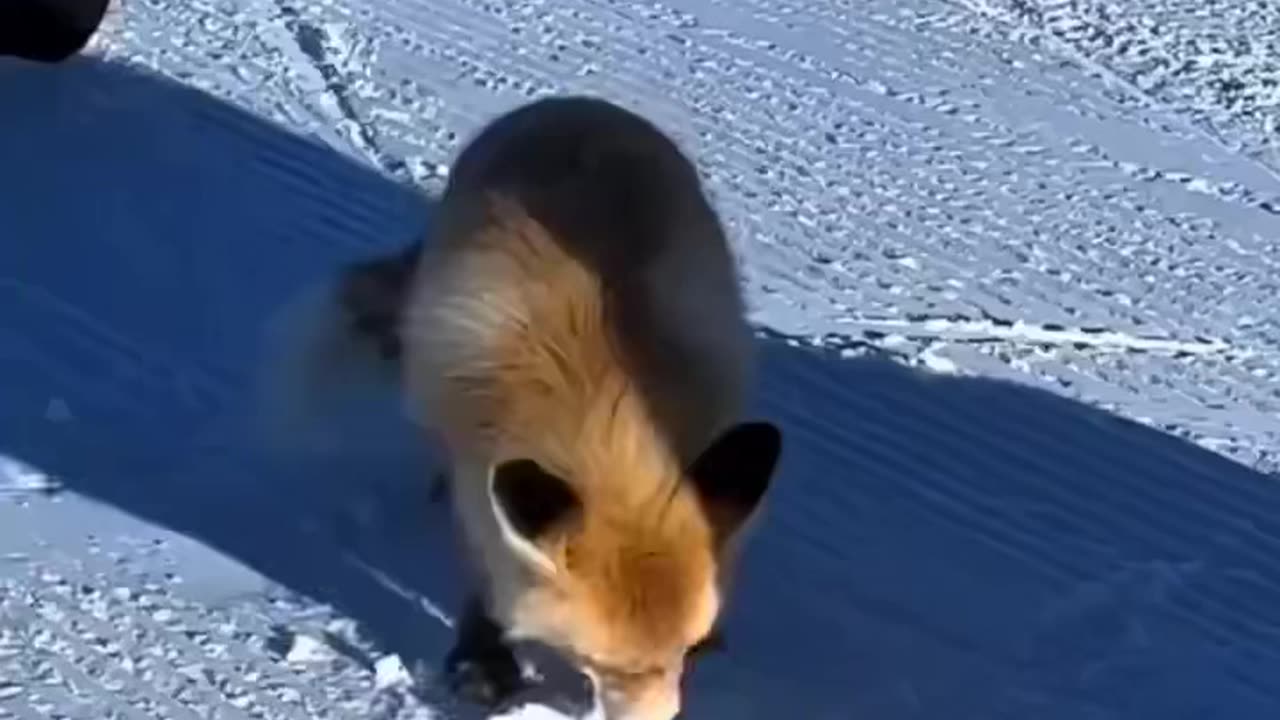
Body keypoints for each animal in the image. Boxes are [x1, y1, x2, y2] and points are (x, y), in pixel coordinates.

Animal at [335, 96, 783, 720]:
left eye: (688, 653)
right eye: (600, 662)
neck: (604, 399)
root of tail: (577, 104)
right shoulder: (475, 463)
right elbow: (486, 572)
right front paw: (482, 660)